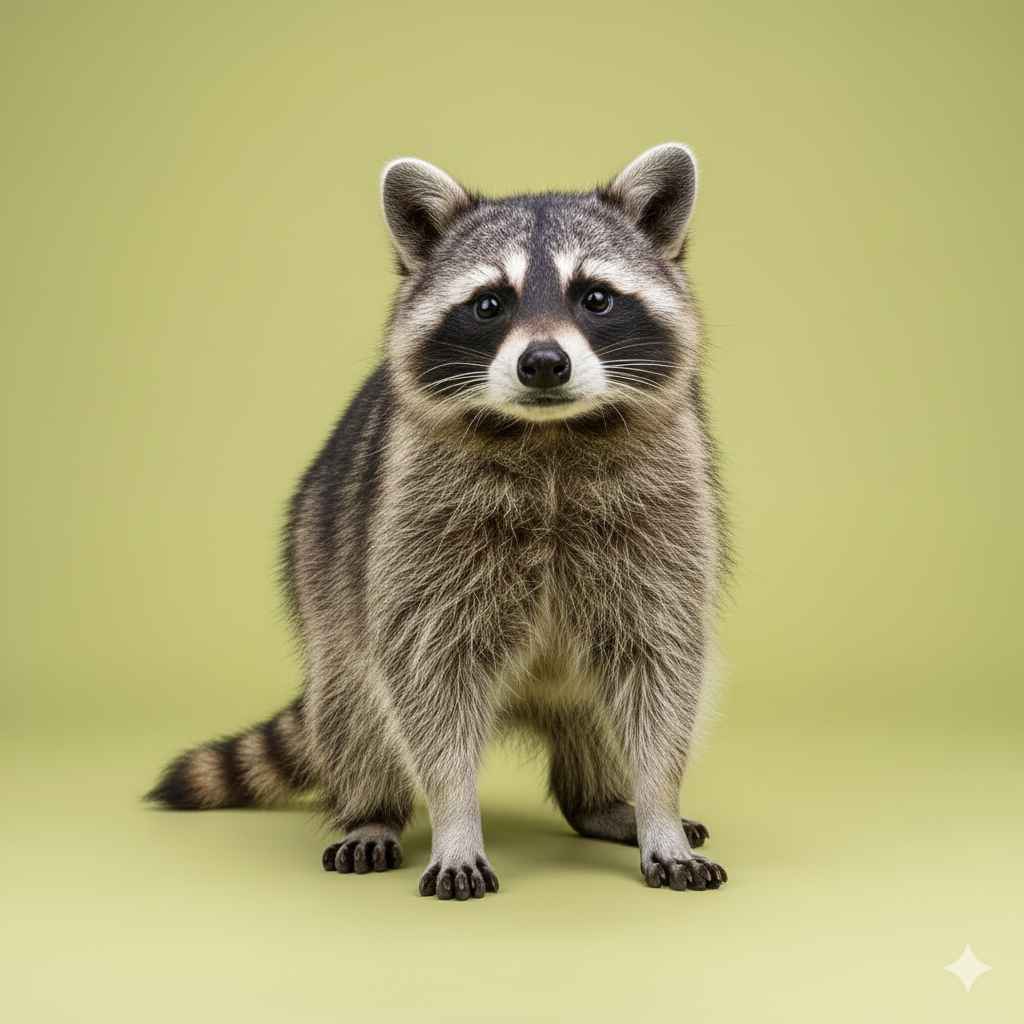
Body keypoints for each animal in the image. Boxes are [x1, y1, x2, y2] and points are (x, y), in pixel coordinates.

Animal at [147, 143, 729, 899]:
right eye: (489, 304)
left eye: (595, 297)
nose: (545, 363)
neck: (549, 434)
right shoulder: (417, 525)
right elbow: (427, 680)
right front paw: (455, 821)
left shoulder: (666, 513)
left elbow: (660, 666)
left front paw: (659, 805)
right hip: (324, 570)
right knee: (354, 703)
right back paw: (371, 810)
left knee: (599, 715)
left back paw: (604, 800)